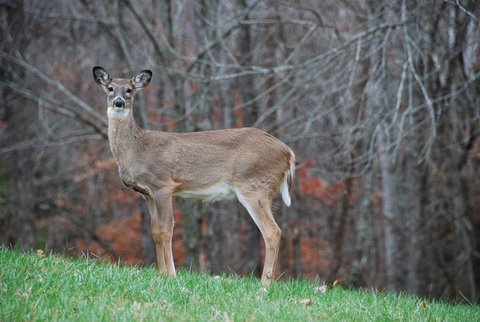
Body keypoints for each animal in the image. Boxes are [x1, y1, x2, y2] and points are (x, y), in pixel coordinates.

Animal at [92, 66, 294, 286]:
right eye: (110, 88)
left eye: (129, 90)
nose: (119, 102)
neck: (137, 149)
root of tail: (288, 153)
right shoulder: (146, 193)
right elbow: (155, 231)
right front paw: (160, 274)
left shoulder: (163, 185)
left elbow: (166, 229)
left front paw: (171, 275)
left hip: (253, 185)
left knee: (272, 231)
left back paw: (264, 285)